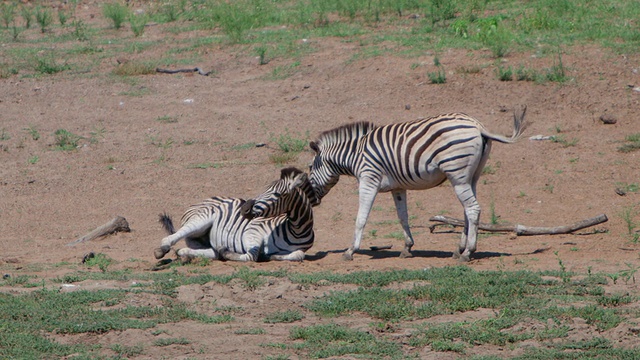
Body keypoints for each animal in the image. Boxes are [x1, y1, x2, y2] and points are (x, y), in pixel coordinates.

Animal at [154, 167, 316, 262]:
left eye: (277, 194)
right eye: (265, 189)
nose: (244, 208)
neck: (296, 231)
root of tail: (206, 199)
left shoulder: (299, 250)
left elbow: (298, 254)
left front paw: (272, 256)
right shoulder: (253, 231)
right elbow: (251, 256)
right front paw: (229, 253)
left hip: (203, 240)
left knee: (199, 251)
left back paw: (186, 254)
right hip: (201, 219)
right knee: (173, 236)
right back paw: (162, 250)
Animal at [308, 105, 524, 260]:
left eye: (310, 167)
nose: (312, 201)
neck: (355, 154)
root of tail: (478, 126)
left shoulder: (369, 179)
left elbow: (361, 218)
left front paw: (350, 250)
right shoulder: (398, 187)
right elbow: (402, 216)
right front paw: (407, 247)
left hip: (457, 174)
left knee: (473, 209)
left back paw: (468, 252)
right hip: (472, 177)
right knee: (468, 210)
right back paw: (459, 249)